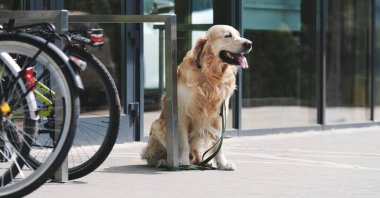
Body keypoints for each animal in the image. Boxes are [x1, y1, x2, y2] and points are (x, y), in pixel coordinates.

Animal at [141, 24, 251, 170]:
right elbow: (183, 143)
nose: (249, 44)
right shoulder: (182, 114)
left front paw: (223, 163)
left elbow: (219, 145)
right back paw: (165, 161)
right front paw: (182, 161)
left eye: (238, 35)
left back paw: (205, 162)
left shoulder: (219, 116)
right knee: (152, 157)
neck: (210, 75)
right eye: (227, 36)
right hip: (157, 125)